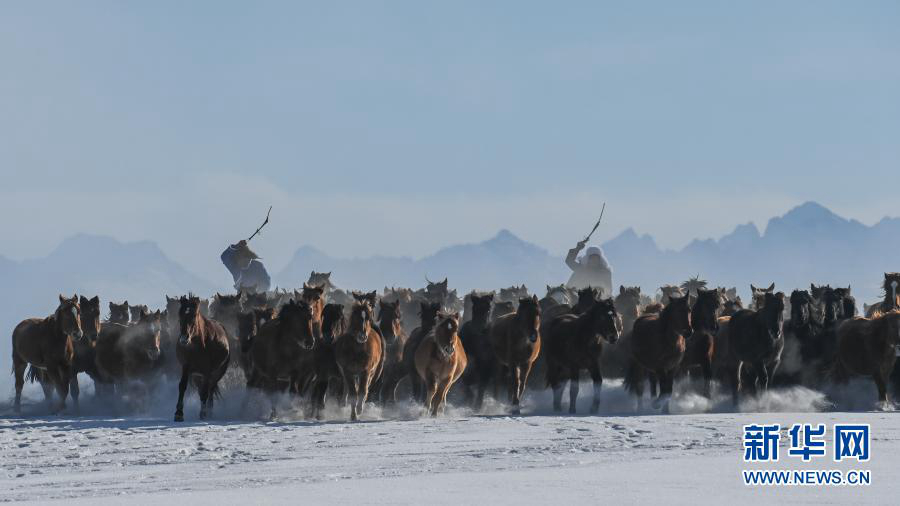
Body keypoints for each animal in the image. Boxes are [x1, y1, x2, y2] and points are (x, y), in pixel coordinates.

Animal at [172, 294, 229, 422]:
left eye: (194, 315)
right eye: (180, 314)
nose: (184, 339)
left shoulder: (207, 371)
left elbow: (205, 392)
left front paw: (203, 413)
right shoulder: (186, 367)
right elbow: (182, 386)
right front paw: (178, 413)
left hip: (216, 374)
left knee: (210, 390)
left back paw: (209, 412)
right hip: (196, 376)